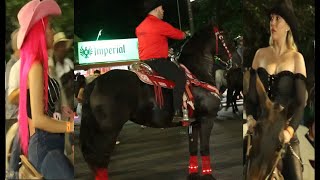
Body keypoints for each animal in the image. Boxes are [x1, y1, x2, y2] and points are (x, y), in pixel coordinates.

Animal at [79, 21, 231, 180]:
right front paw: (209, 175)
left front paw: (193, 174)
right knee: (101, 159)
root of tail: (95, 83)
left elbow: (193, 148)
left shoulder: (194, 123)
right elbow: (205, 148)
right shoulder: (207, 119)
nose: (232, 60)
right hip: (107, 131)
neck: (196, 74)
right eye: (225, 36)